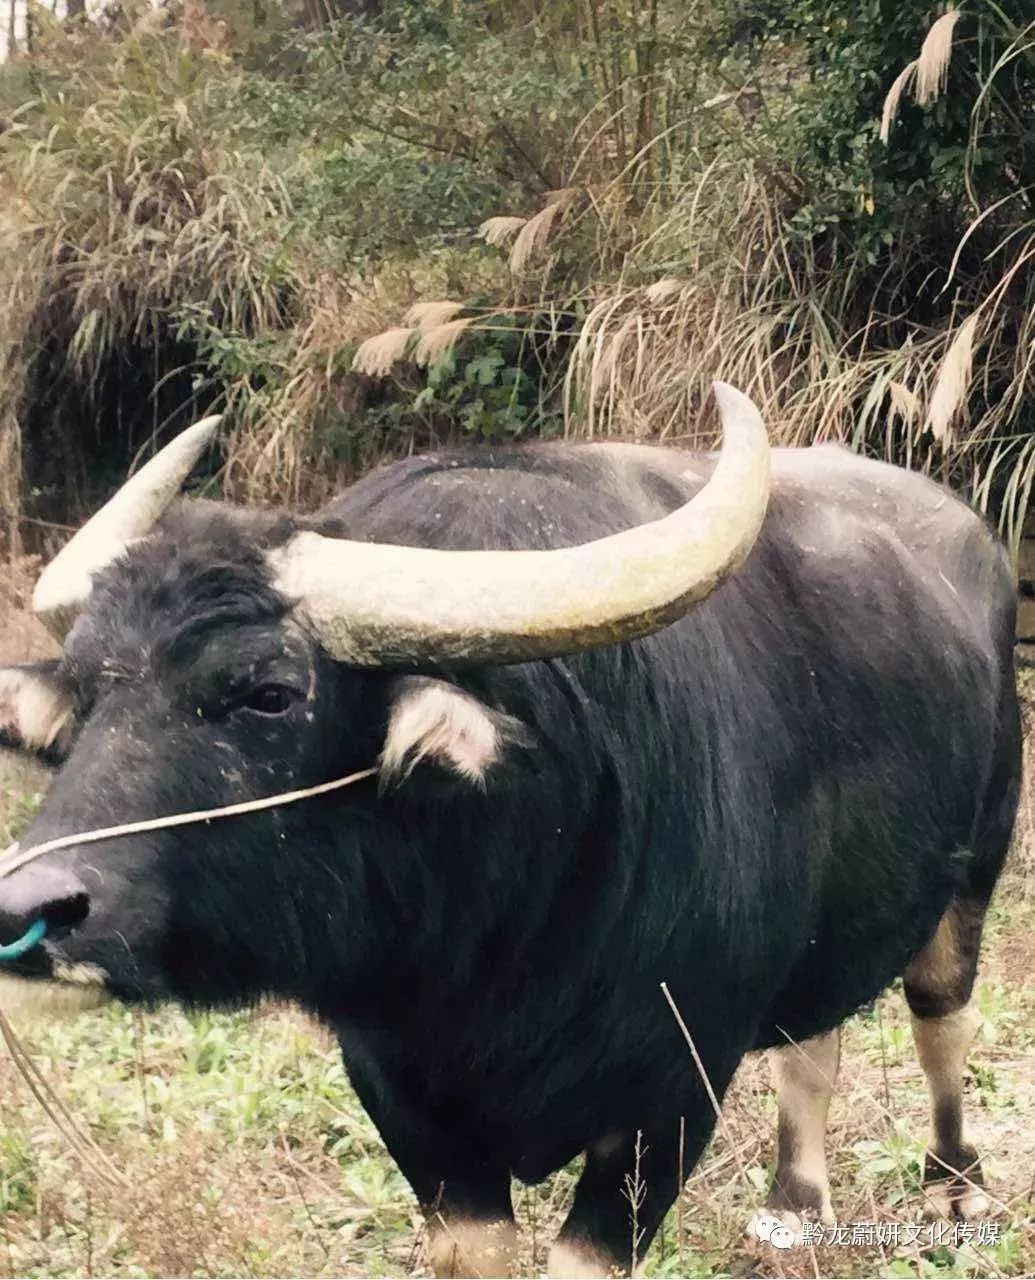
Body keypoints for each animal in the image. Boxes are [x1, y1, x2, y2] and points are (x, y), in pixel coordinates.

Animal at [0, 381, 1018, 1280]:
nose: (29, 909)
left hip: (974, 871)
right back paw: (796, 1206)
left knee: (940, 1015)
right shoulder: (404, 1098)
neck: (498, 939)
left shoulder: (672, 1090)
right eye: (84, 697)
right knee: (815, 1035)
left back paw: (956, 1187)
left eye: (268, 693)